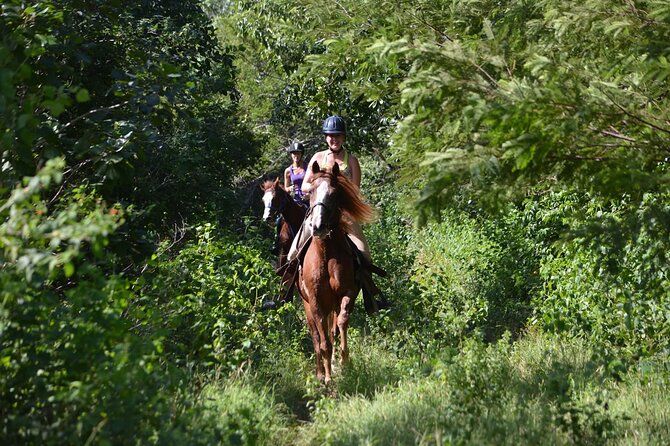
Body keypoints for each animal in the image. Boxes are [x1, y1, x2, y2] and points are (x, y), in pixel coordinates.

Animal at [298, 161, 376, 384]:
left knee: (332, 328)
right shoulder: (315, 302)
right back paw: (320, 372)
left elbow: (341, 323)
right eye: (311, 191)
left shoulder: (347, 292)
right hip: (308, 306)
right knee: (316, 336)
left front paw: (344, 361)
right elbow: (323, 340)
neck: (325, 255)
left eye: (334, 194)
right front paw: (327, 378)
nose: (318, 226)